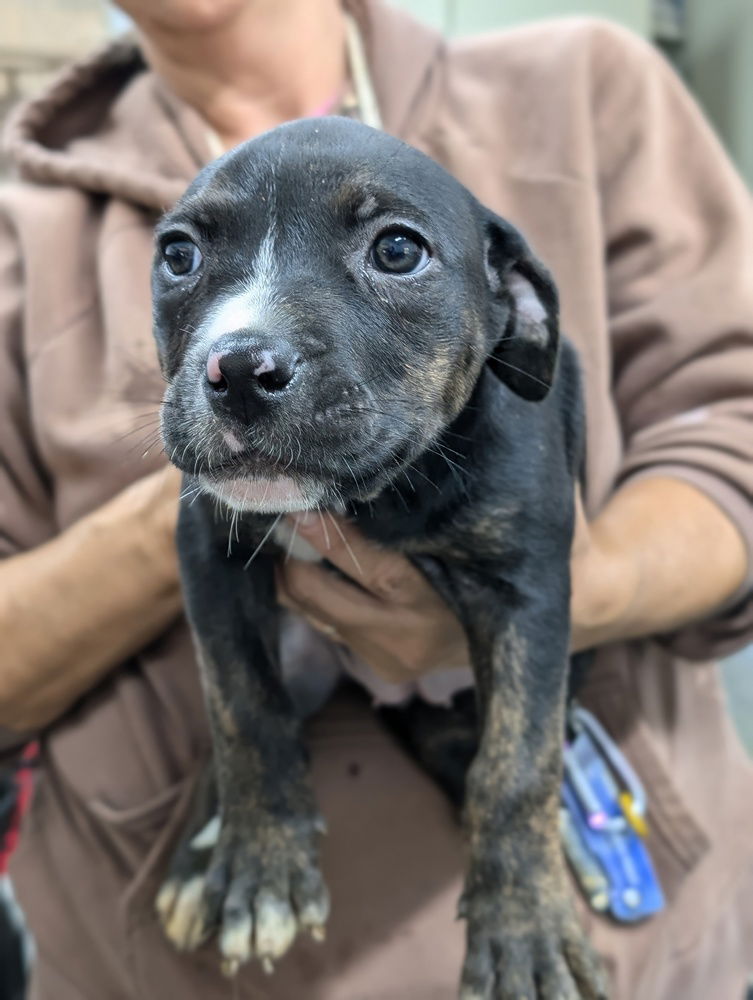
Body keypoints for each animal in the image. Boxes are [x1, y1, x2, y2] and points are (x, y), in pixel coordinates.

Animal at [151, 119, 604, 1000]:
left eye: (397, 251)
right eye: (178, 256)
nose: (239, 368)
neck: (376, 497)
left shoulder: (526, 592)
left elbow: (517, 767)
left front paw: (525, 933)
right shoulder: (210, 552)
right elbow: (241, 707)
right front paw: (258, 869)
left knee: (481, 753)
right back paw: (203, 857)